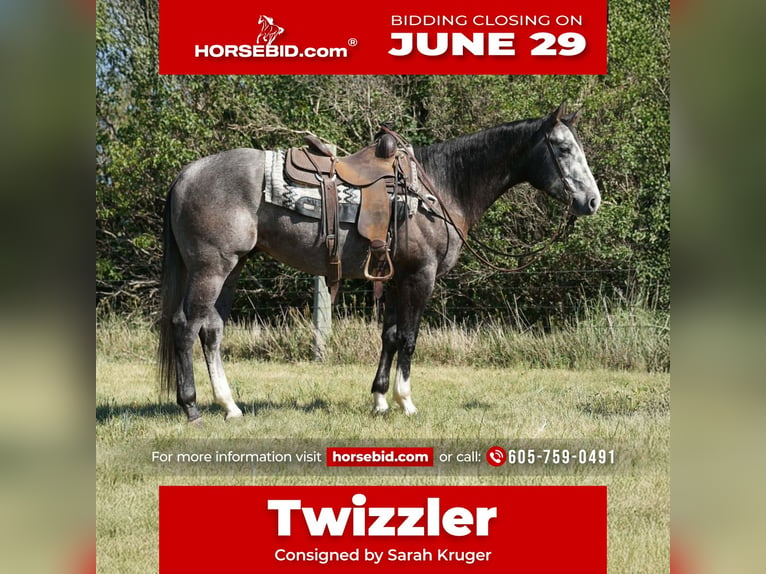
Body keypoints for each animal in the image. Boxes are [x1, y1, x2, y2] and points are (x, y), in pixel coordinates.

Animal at [157, 102, 601, 423]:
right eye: (563, 148)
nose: (593, 201)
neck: (439, 189)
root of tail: (186, 174)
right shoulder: (420, 276)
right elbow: (408, 337)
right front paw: (406, 402)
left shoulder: (394, 276)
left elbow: (388, 336)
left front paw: (380, 400)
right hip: (212, 268)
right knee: (186, 326)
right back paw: (191, 407)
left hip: (233, 267)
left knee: (211, 331)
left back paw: (230, 406)